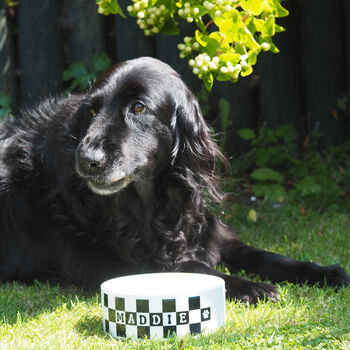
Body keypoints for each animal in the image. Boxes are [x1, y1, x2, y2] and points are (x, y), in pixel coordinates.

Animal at [0, 58, 348, 304]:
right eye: (93, 110)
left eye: (139, 107)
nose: (87, 160)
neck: (151, 202)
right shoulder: (137, 262)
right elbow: (200, 269)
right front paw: (252, 286)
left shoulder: (210, 234)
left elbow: (266, 255)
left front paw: (326, 272)